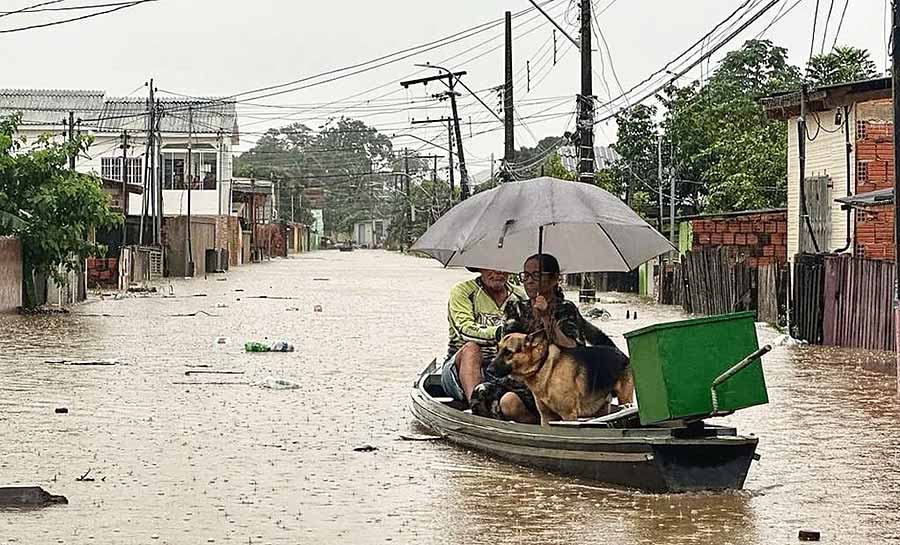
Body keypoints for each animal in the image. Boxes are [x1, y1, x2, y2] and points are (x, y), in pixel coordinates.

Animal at [486, 332, 632, 424]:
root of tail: (619, 352)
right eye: (497, 349)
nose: (488, 370)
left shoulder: (569, 415)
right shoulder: (546, 417)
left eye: (508, 352)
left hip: (625, 399)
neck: (543, 365)